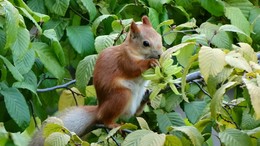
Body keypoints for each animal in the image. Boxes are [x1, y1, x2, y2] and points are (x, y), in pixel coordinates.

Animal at [29, 15, 162, 145]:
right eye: (145, 43)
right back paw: (112, 124)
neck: (135, 52)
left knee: (136, 113)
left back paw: (146, 98)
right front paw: (151, 62)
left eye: (159, 37)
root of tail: (99, 109)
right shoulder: (124, 60)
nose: (160, 54)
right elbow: (134, 68)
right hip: (120, 96)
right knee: (106, 118)